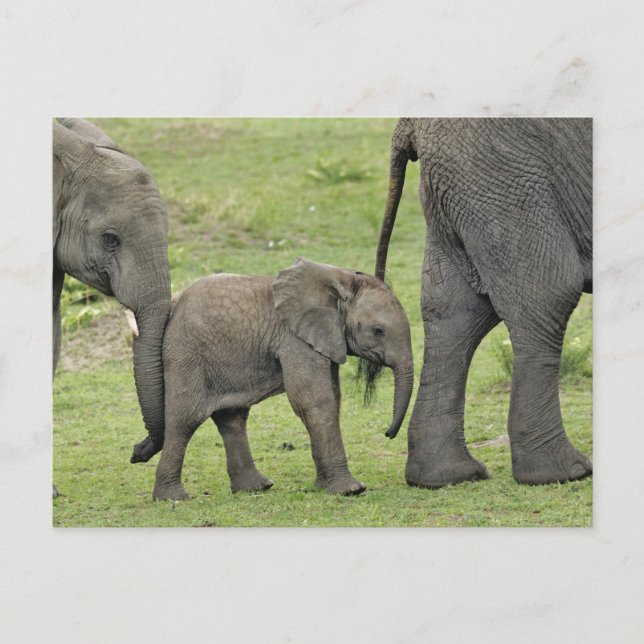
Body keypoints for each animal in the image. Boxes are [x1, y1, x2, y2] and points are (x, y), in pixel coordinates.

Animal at [152, 258, 414, 500]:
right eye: (378, 331)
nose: (388, 434)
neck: (338, 280)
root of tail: (174, 305)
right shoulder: (294, 339)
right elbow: (313, 400)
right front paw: (351, 490)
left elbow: (332, 397)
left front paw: (323, 486)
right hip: (187, 355)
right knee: (186, 418)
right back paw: (173, 498)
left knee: (232, 417)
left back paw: (256, 487)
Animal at [375, 118, 592, 488]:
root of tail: (410, 123)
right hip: (501, 173)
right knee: (549, 290)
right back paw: (563, 472)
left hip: (463, 185)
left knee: (454, 310)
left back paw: (445, 476)